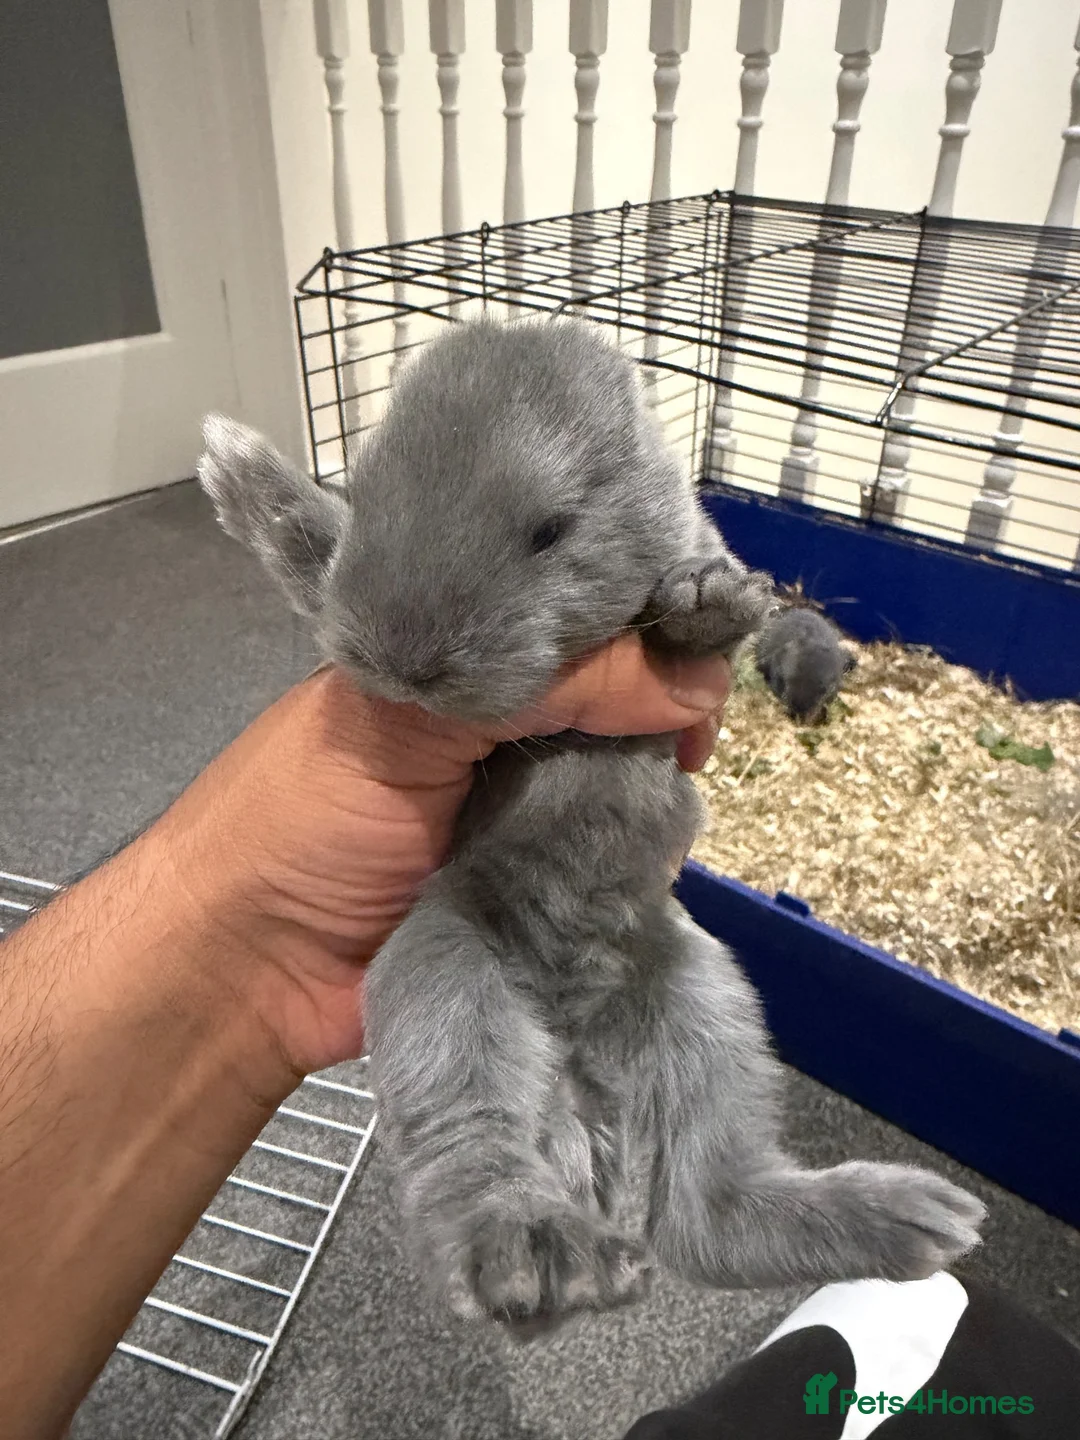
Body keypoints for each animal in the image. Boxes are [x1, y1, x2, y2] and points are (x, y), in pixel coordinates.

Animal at [198, 317, 985, 1331]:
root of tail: (576, 1032)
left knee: (709, 1212)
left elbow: (699, 633)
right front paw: (233, 463)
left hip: (705, 1000)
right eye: (366, 499)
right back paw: (542, 1253)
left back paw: (917, 1219)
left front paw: (709, 596)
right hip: (443, 981)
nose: (401, 663)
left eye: (552, 530)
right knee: (483, 1155)